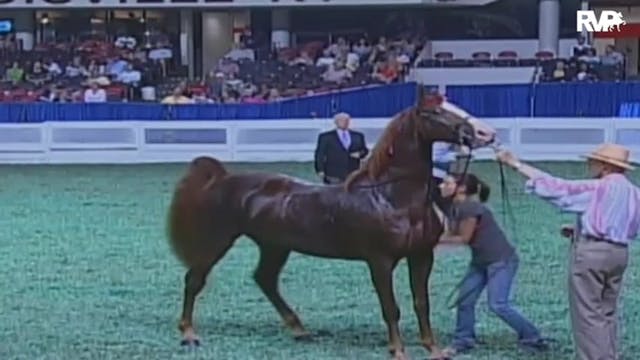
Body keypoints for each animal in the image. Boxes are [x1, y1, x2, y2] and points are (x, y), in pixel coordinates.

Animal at [165, 88, 496, 360]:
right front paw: (398, 351)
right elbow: (391, 307)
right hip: (219, 240)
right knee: (194, 279)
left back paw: (299, 330)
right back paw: (189, 335)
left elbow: (421, 303)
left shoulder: (421, 256)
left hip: (274, 246)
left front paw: (434, 349)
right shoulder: (380, 261)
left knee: (264, 279)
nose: (486, 132)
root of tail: (222, 179)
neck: (390, 197)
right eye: (435, 112)